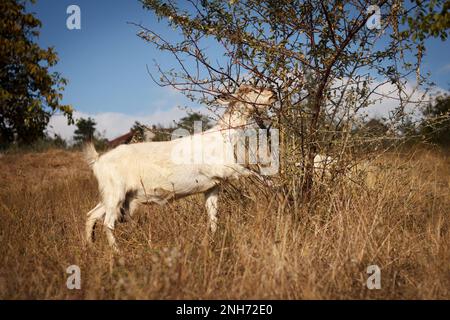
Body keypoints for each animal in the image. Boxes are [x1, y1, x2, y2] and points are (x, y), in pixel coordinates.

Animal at [84, 85, 274, 250]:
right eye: (251, 90)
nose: (272, 92)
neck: (225, 136)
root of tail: (98, 160)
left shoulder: (213, 185)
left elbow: (213, 215)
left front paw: (214, 238)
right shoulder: (226, 168)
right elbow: (252, 170)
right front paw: (273, 186)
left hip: (114, 195)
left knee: (91, 215)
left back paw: (89, 246)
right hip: (115, 192)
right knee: (108, 223)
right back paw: (117, 251)